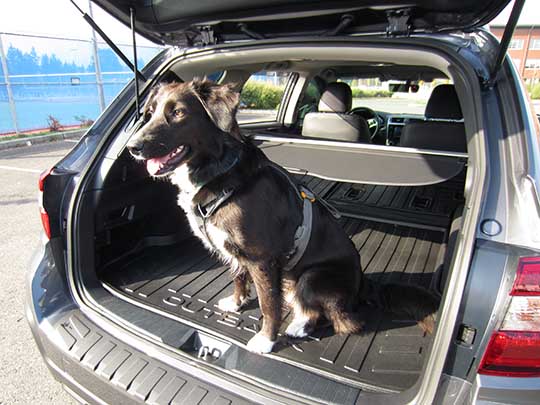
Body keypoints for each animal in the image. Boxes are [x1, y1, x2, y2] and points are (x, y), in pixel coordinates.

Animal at [126, 78, 438, 350]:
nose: (132, 148)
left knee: (344, 322)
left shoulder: (261, 259)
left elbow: (268, 305)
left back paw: (300, 327)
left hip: (312, 276)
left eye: (178, 113)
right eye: (149, 114)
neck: (221, 172)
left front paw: (266, 340)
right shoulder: (236, 251)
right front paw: (237, 303)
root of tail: (363, 284)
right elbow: (238, 277)